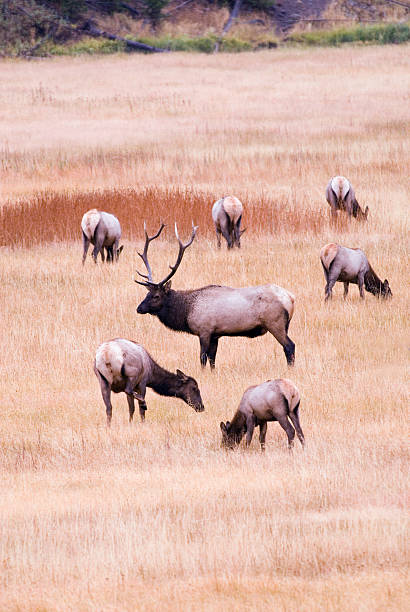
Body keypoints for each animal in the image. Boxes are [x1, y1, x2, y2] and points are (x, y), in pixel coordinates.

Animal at [136, 224, 296, 368]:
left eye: (156, 296)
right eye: (147, 293)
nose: (139, 308)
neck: (187, 311)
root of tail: (291, 298)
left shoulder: (204, 331)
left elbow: (202, 358)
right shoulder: (215, 335)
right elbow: (212, 360)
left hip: (275, 323)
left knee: (290, 346)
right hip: (284, 325)